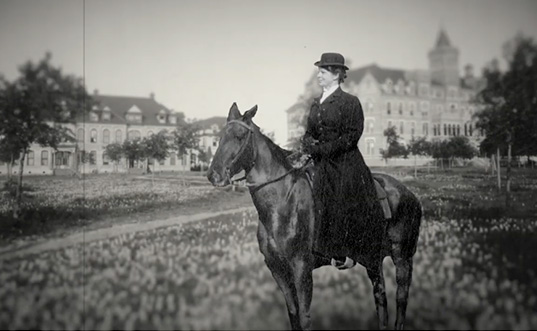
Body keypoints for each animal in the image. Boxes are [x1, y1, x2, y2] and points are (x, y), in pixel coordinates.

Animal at [207, 103, 420, 330]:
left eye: (239, 136)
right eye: (219, 137)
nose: (214, 175)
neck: (282, 203)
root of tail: (408, 193)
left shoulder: (301, 267)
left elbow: (304, 317)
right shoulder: (277, 270)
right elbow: (293, 314)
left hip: (402, 257)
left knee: (401, 297)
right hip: (373, 257)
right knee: (380, 297)